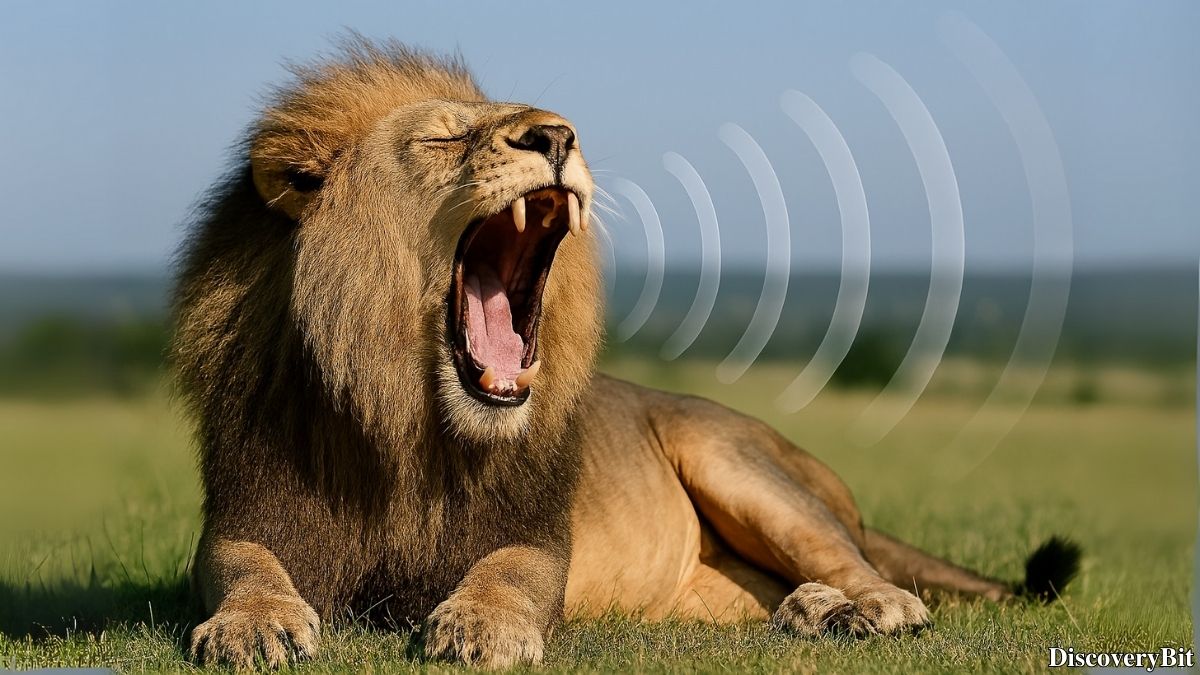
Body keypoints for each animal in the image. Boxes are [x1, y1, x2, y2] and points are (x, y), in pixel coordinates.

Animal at [173, 39, 1079, 669]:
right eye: (442, 139)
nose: (556, 134)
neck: (406, 417)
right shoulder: (250, 508)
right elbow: (244, 565)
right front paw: (251, 626)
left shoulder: (536, 533)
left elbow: (508, 571)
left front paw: (478, 625)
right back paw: (811, 612)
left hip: (735, 459)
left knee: (858, 561)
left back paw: (870, 608)